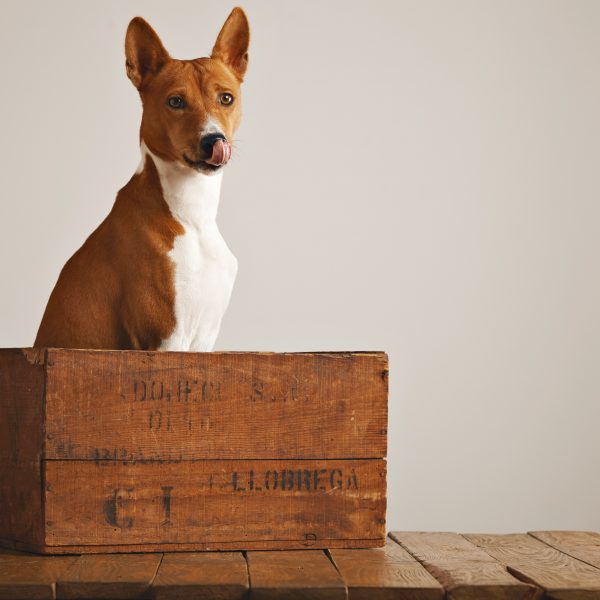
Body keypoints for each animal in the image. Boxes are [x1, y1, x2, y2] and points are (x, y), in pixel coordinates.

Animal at [34, 7, 250, 352]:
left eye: (226, 98)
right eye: (175, 102)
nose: (213, 140)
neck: (192, 215)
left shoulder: (204, 340)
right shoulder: (165, 338)